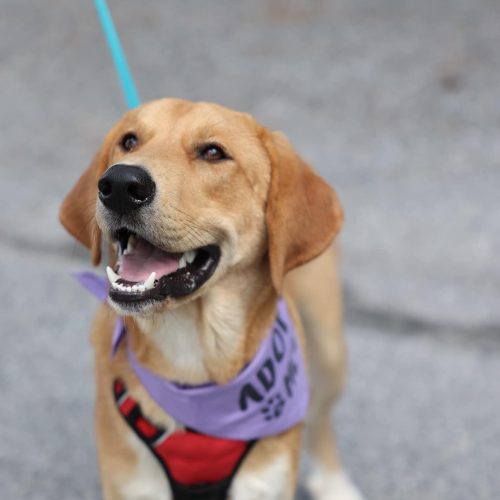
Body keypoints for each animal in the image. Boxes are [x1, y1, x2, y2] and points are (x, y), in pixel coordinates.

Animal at [59, 98, 364, 500]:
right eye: (129, 141)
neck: (195, 359)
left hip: (329, 351)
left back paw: (333, 481)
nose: (120, 184)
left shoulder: (264, 485)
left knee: (319, 413)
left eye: (213, 153)